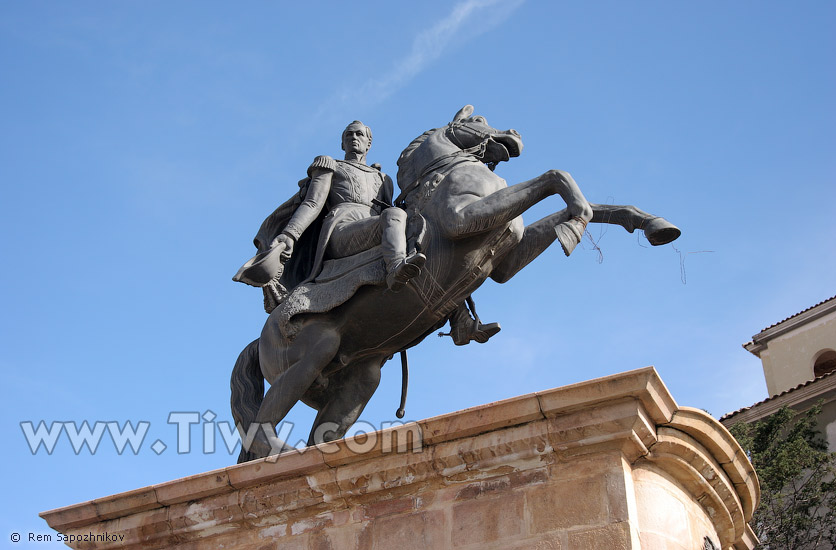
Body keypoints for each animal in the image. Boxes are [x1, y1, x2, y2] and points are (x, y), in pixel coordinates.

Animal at [230, 105, 680, 464]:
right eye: (477, 121)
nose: (515, 135)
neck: (445, 174)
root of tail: (261, 336)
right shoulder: (466, 220)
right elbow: (555, 178)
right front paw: (576, 222)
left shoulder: (507, 257)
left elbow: (581, 199)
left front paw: (651, 224)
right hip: (310, 355)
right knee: (262, 424)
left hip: (356, 382)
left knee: (313, 433)